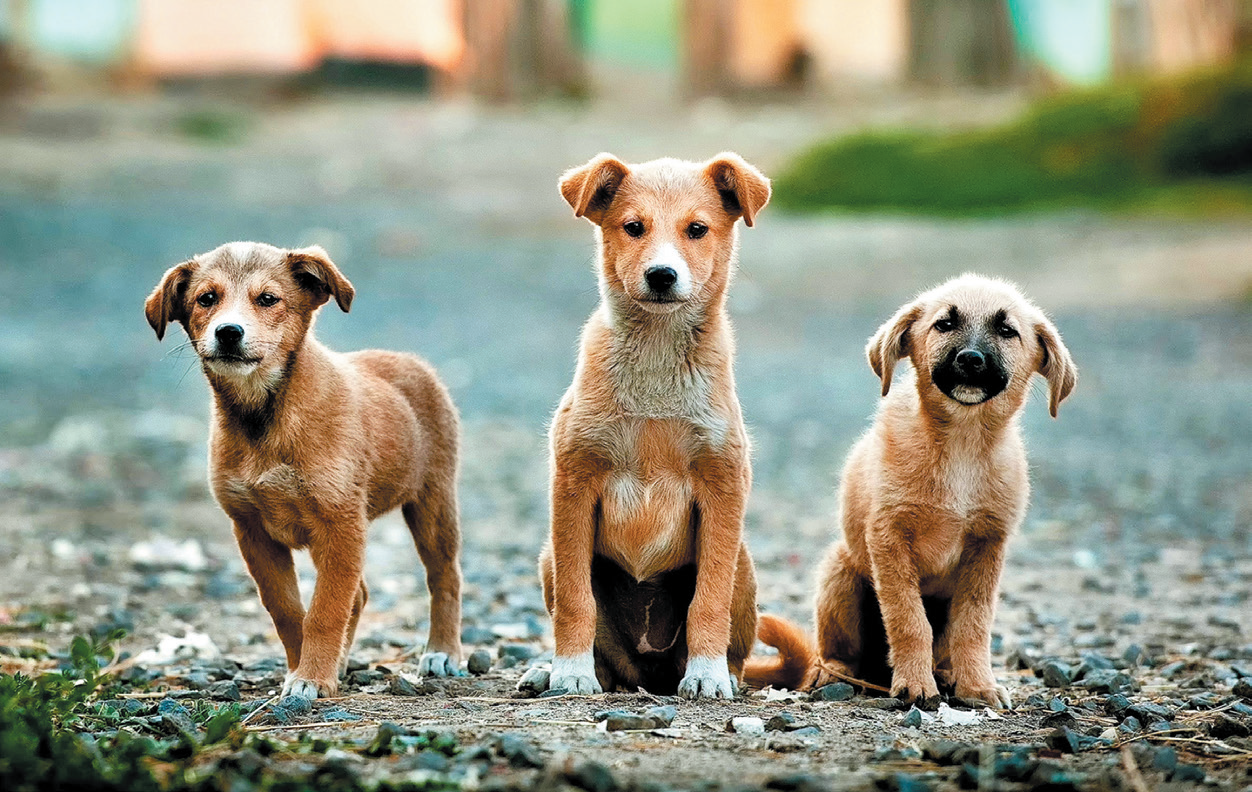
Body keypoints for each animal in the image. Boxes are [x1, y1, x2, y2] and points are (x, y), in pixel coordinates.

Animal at [143, 242, 463, 695]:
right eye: (207, 299)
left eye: (268, 299)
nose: (228, 332)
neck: (264, 417)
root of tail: (409, 361)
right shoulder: (253, 530)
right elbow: (288, 611)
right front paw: (303, 670)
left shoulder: (340, 524)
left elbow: (326, 611)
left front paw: (312, 678)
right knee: (360, 595)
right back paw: (342, 663)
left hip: (432, 503)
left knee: (444, 577)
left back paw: (442, 652)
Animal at [513, 151, 766, 695]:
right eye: (633, 227)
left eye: (697, 229)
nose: (661, 275)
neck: (656, 357)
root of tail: (647, 672)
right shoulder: (573, 483)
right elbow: (575, 601)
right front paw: (569, 671)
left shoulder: (722, 485)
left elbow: (708, 600)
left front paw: (708, 675)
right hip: (548, 557)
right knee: (604, 655)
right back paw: (551, 670)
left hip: (743, 563)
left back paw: (722, 675)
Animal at [746, 275, 1081, 705]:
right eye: (944, 324)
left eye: (1007, 331)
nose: (970, 359)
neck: (961, 444)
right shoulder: (889, 537)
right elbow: (908, 620)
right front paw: (915, 684)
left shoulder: (987, 545)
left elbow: (973, 625)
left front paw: (978, 685)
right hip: (841, 573)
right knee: (836, 651)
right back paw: (835, 673)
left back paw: (947, 674)